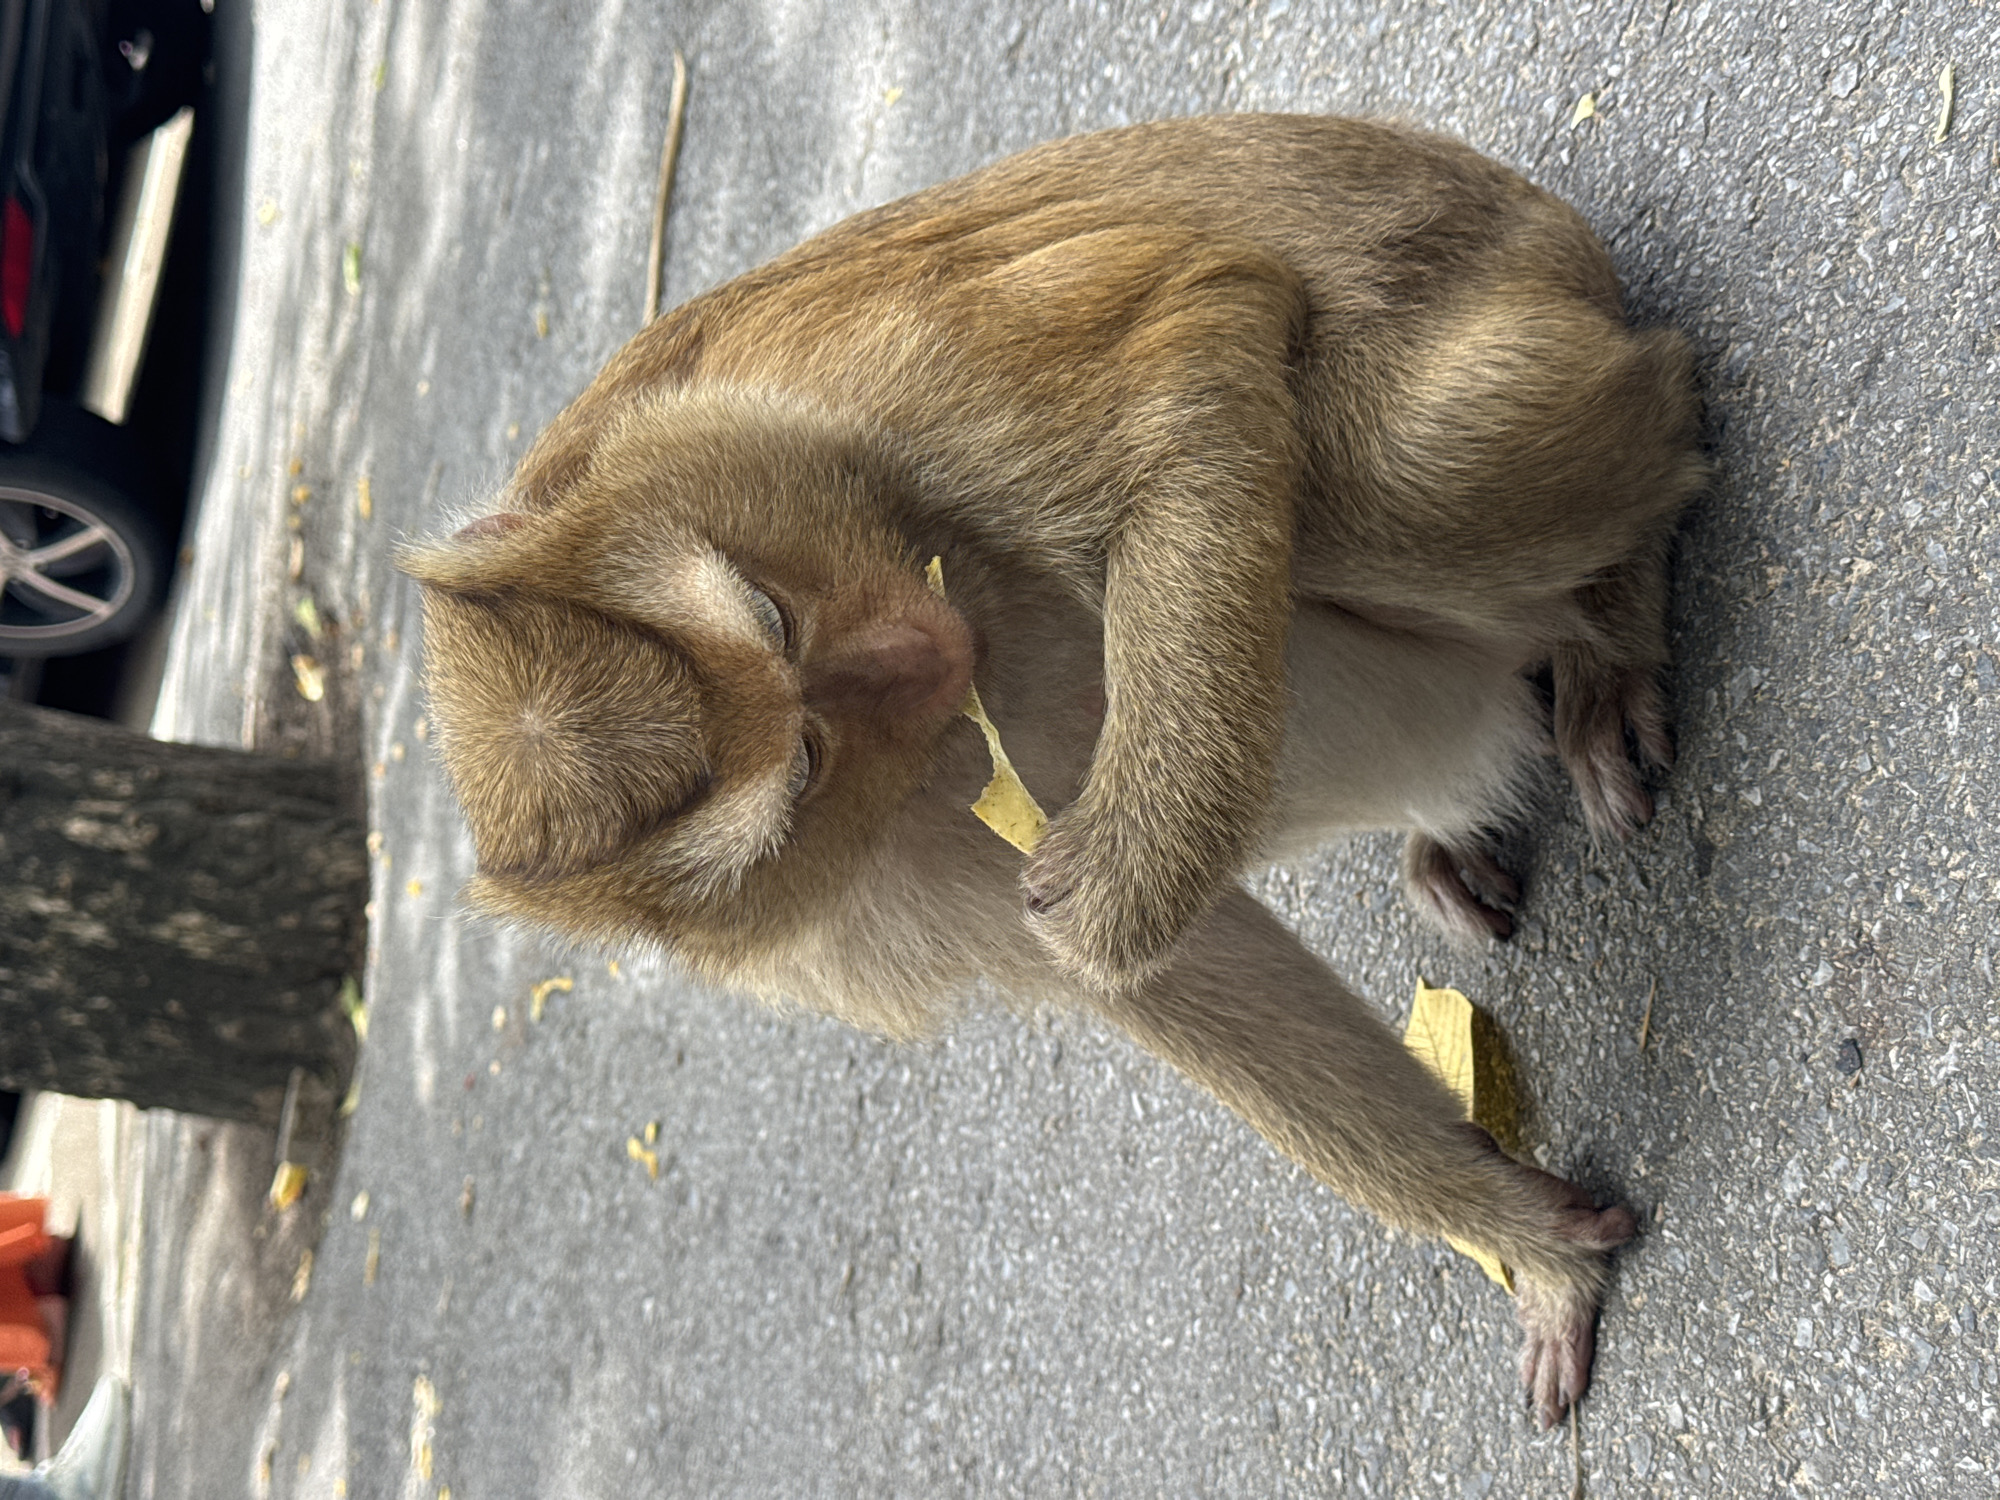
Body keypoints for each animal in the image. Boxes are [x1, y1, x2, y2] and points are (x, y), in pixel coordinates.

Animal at [403, 115, 1706, 1427]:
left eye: (773, 618)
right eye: (808, 759)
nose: (919, 655)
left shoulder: (851, 382)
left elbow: (1188, 325)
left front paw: (1118, 891)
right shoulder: (873, 878)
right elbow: (1189, 981)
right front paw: (1530, 1242)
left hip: (1535, 314)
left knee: (1379, 465)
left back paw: (1616, 597)